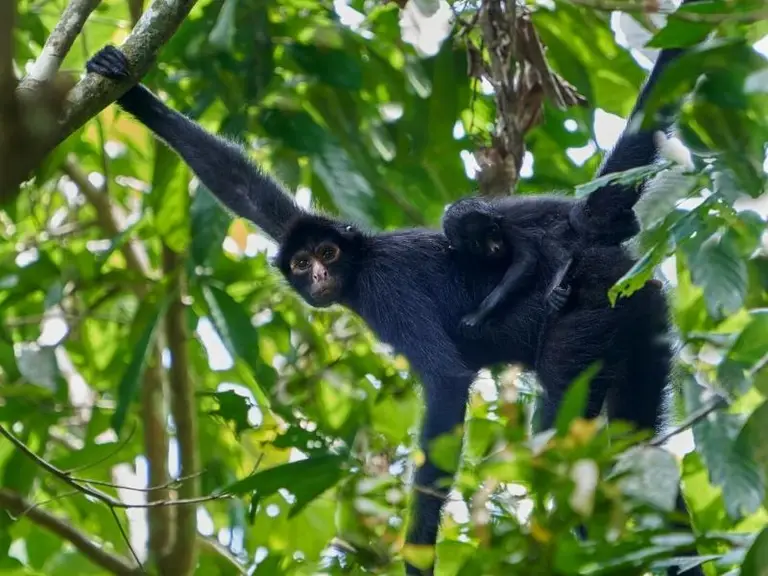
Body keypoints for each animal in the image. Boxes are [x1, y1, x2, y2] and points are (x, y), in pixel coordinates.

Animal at [85, 9, 704, 572]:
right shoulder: (298, 228)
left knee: (565, 431)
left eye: (329, 256)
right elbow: (243, 187)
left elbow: (447, 382)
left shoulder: (386, 289)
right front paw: (132, 92)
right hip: (640, 313)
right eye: (303, 260)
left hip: (589, 310)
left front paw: (417, 561)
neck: (359, 267)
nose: (316, 276)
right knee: (636, 443)